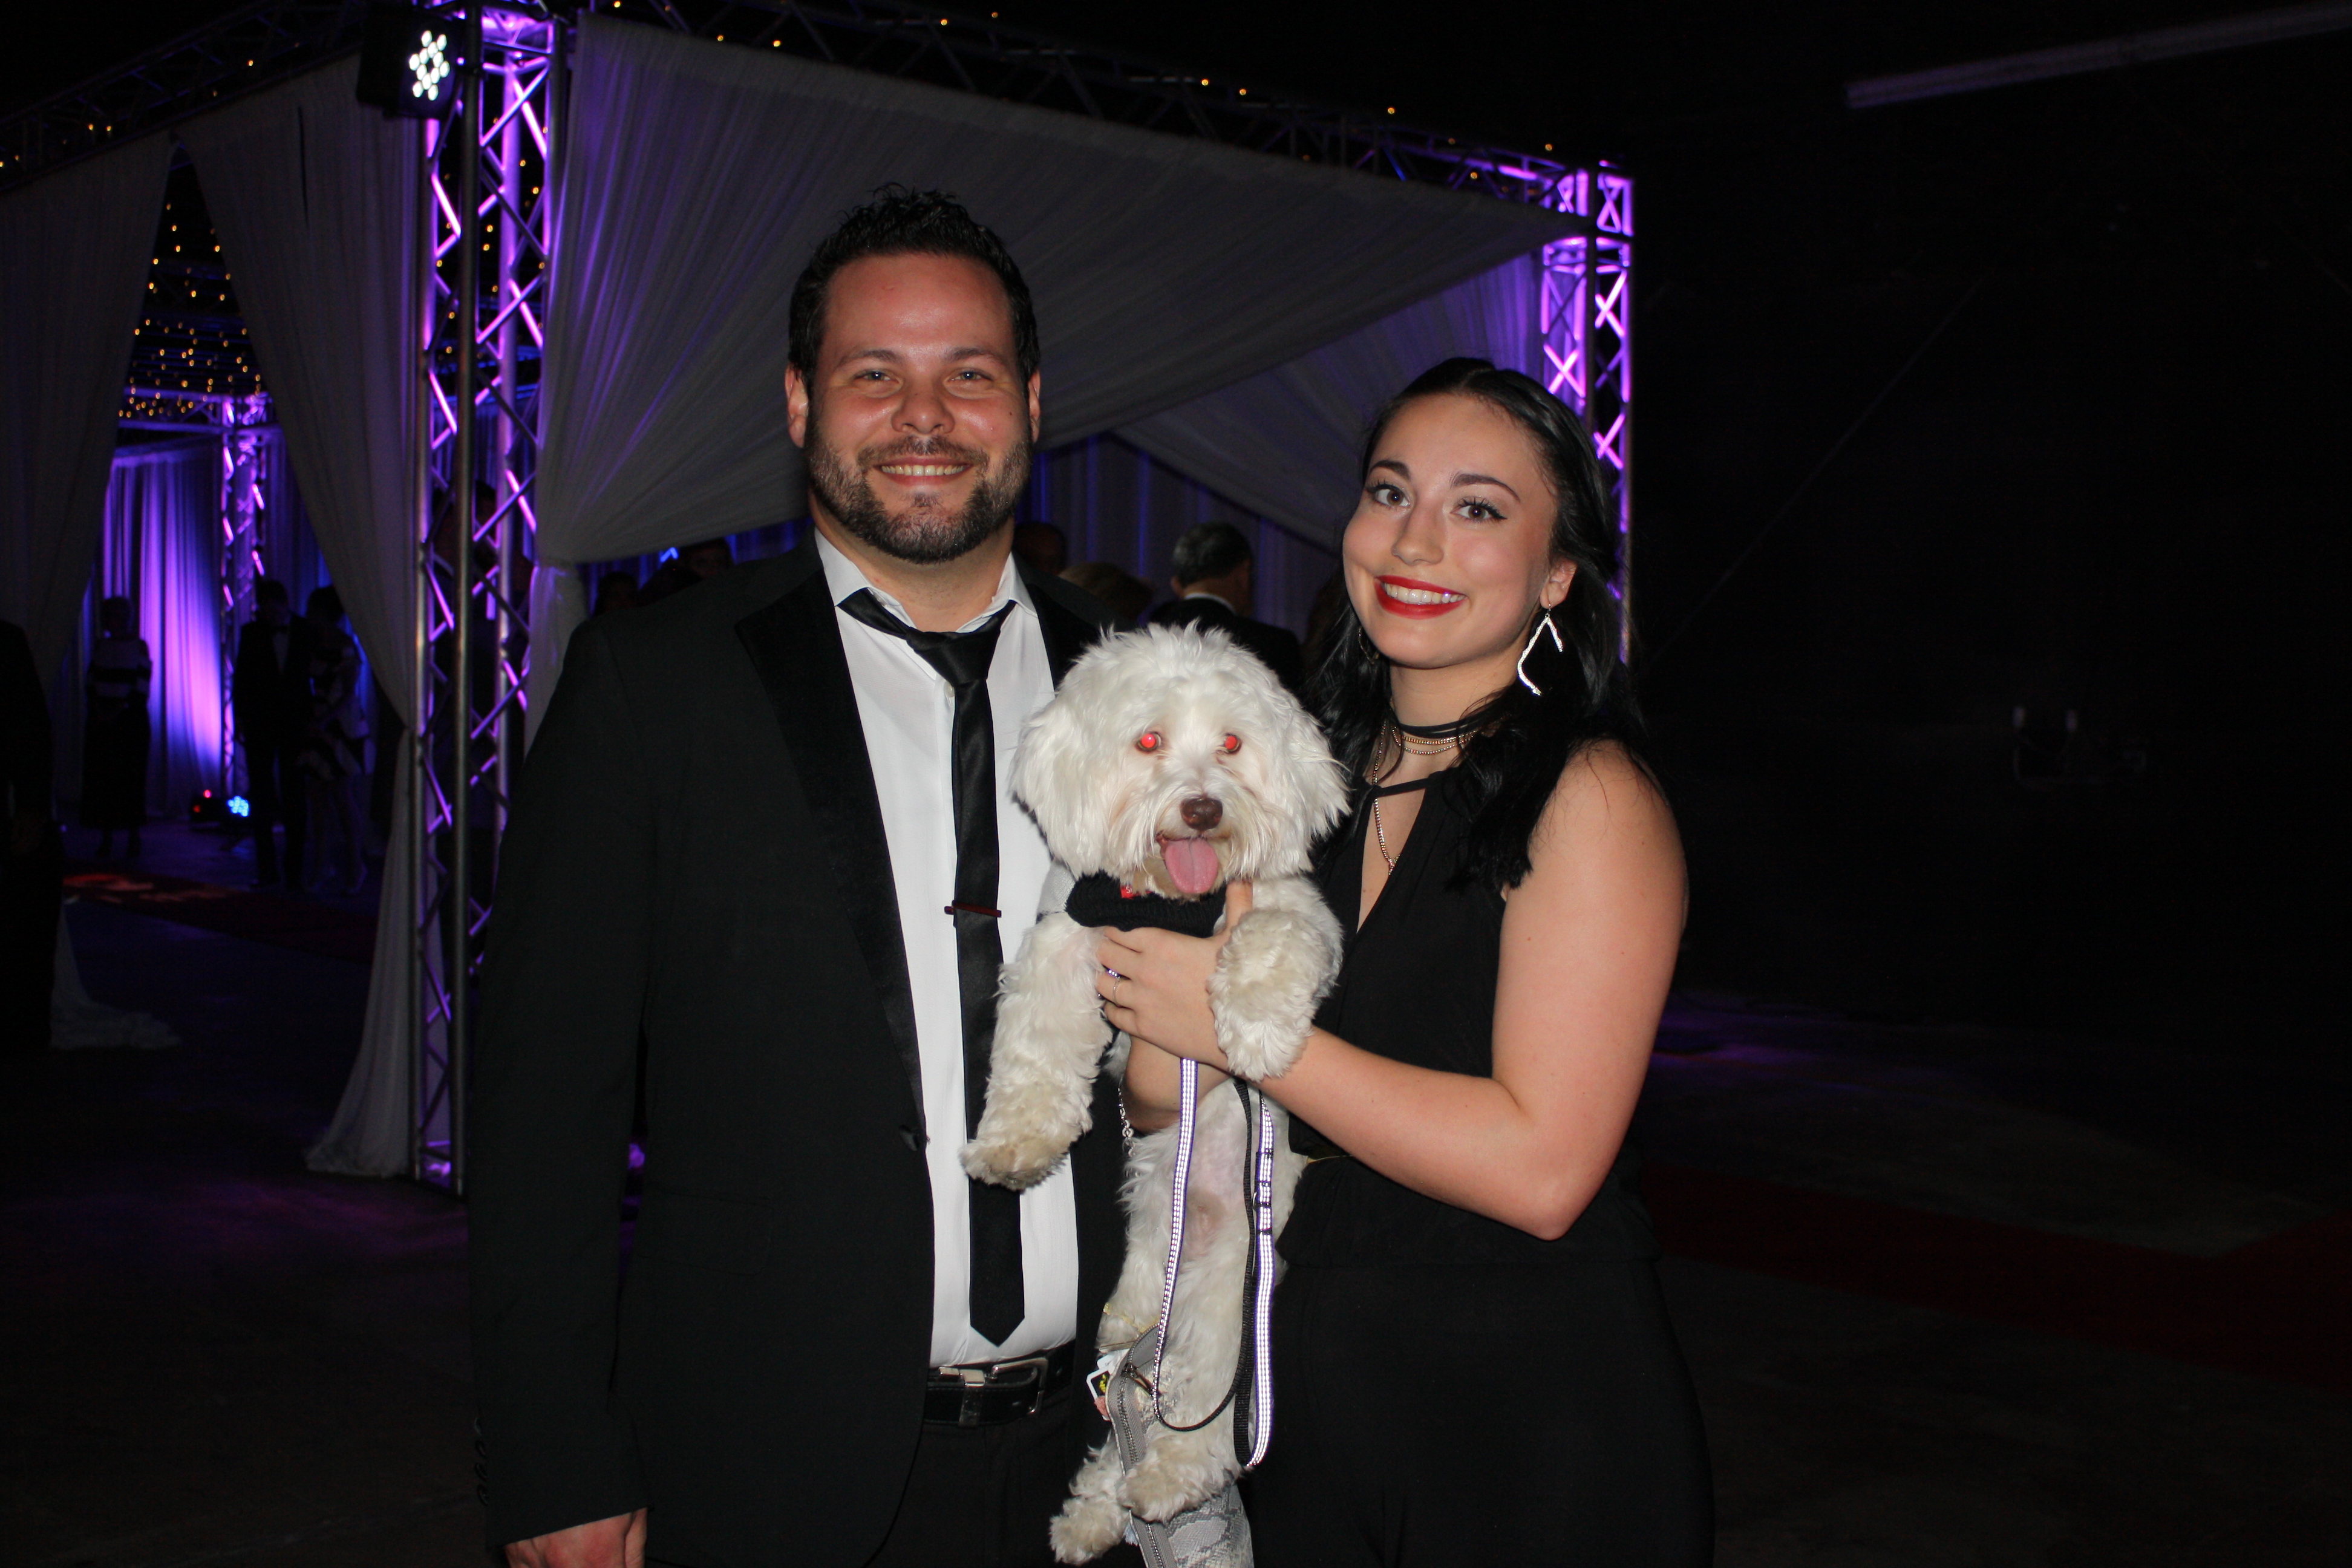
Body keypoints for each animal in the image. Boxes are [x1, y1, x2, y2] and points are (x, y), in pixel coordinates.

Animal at [960, 624, 1348, 1562]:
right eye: (1148, 741)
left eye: (1234, 745)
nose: (1203, 808)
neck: (1176, 905)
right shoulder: (1069, 936)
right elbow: (1036, 1042)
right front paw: (1016, 1141)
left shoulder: (1298, 916)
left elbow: (1271, 936)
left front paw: (1256, 1029)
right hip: (1151, 1276)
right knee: (1133, 1391)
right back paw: (1096, 1510)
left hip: (1231, 1304)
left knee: (1203, 1417)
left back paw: (1165, 1482)